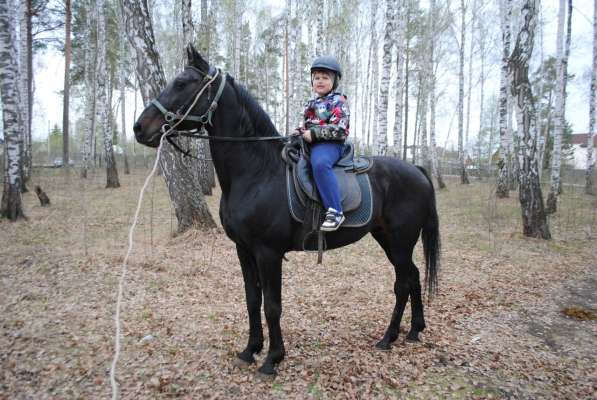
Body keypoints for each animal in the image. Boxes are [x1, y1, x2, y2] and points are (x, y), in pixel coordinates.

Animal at [134, 46, 438, 376]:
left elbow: (272, 306)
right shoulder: (244, 250)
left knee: (403, 283)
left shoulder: (268, 253)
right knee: (413, 277)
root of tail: (417, 171)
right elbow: (252, 300)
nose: (139, 128)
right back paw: (413, 330)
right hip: (387, 239)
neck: (257, 172)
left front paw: (272, 359)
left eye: (182, 83)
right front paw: (250, 350)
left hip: (400, 241)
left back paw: (388, 337)